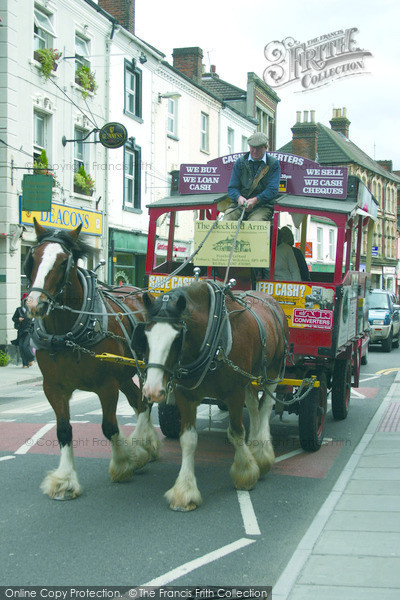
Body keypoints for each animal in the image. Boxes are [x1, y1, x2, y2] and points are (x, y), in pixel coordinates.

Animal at [24, 218, 159, 500]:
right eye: (34, 257)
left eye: (63, 261)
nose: (33, 304)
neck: (67, 333)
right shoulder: (53, 387)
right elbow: (63, 430)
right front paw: (65, 480)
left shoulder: (106, 385)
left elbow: (109, 427)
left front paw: (123, 464)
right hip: (125, 374)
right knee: (138, 401)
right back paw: (146, 447)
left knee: (144, 402)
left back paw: (142, 448)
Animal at [136, 282, 290, 510]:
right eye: (145, 335)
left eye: (177, 337)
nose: (152, 390)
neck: (212, 340)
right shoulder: (185, 396)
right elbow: (188, 439)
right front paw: (185, 491)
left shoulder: (234, 393)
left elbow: (236, 432)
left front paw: (245, 472)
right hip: (249, 376)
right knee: (254, 405)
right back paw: (255, 447)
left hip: (273, 371)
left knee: (266, 406)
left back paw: (261, 455)